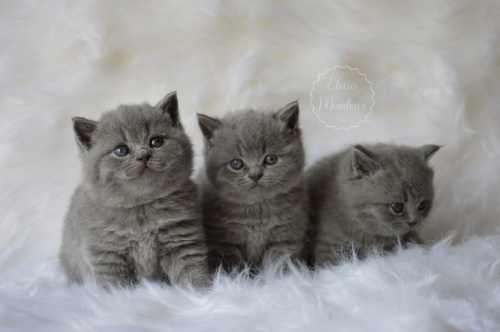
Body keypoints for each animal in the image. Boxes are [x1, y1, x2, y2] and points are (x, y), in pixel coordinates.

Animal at [60, 92, 209, 290]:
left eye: (156, 141)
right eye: (121, 150)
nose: (143, 155)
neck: (141, 206)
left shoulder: (182, 240)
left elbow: (191, 271)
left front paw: (200, 293)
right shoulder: (106, 253)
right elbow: (114, 284)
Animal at [196, 102, 308, 272]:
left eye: (270, 159)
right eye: (236, 164)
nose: (255, 175)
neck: (257, 210)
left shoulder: (285, 237)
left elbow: (281, 265)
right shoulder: (224, 243)